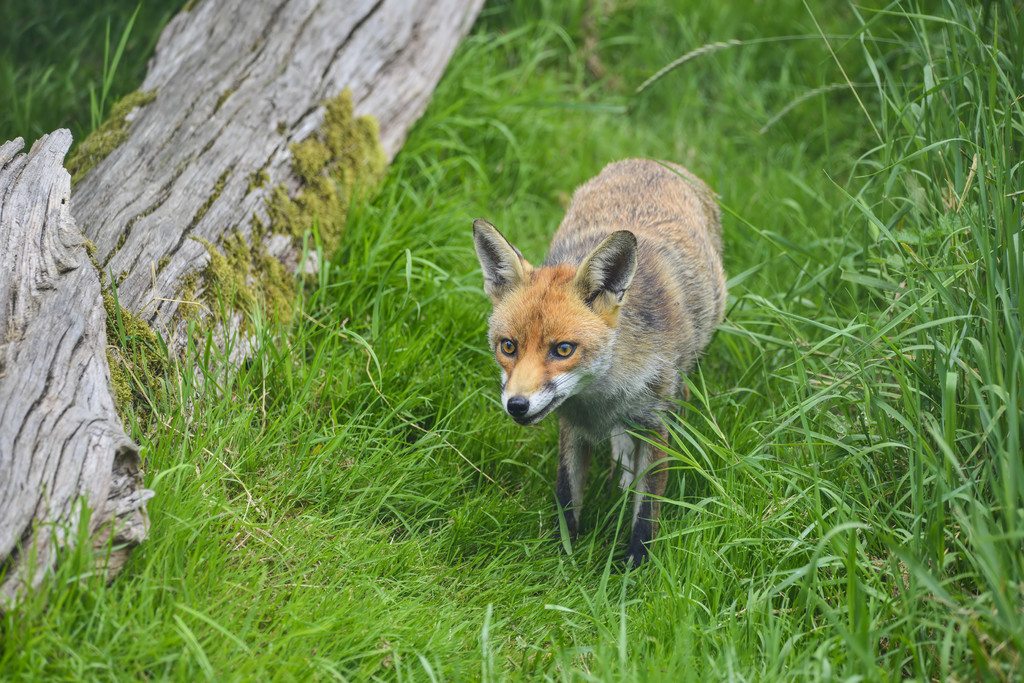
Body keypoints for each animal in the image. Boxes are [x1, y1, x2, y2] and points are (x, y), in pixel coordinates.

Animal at [473, 157, 729, 565]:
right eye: (508, 347)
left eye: (563, 350)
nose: (517, 405)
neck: (601, 398)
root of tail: (652, 160)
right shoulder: (571, 426)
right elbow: (566, 496)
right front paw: (561, 556)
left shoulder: (655, 424)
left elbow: (646, 510)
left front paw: (636, 567)